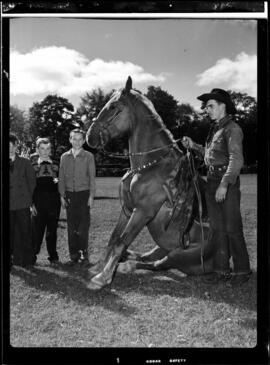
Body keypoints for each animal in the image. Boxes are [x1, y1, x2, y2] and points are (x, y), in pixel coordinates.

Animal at [85, 77, 214, 290]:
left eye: (113, 107)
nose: (90, 136)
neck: (148, 166)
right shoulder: (127, 210)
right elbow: (114, 239)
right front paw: (99, 268)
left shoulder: (143, 211)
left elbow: (121, 242)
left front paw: (101, 278)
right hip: (161, 245)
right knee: (146, 256)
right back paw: (126, 261)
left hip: (180, 254)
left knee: (158, 264)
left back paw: (126, 265)